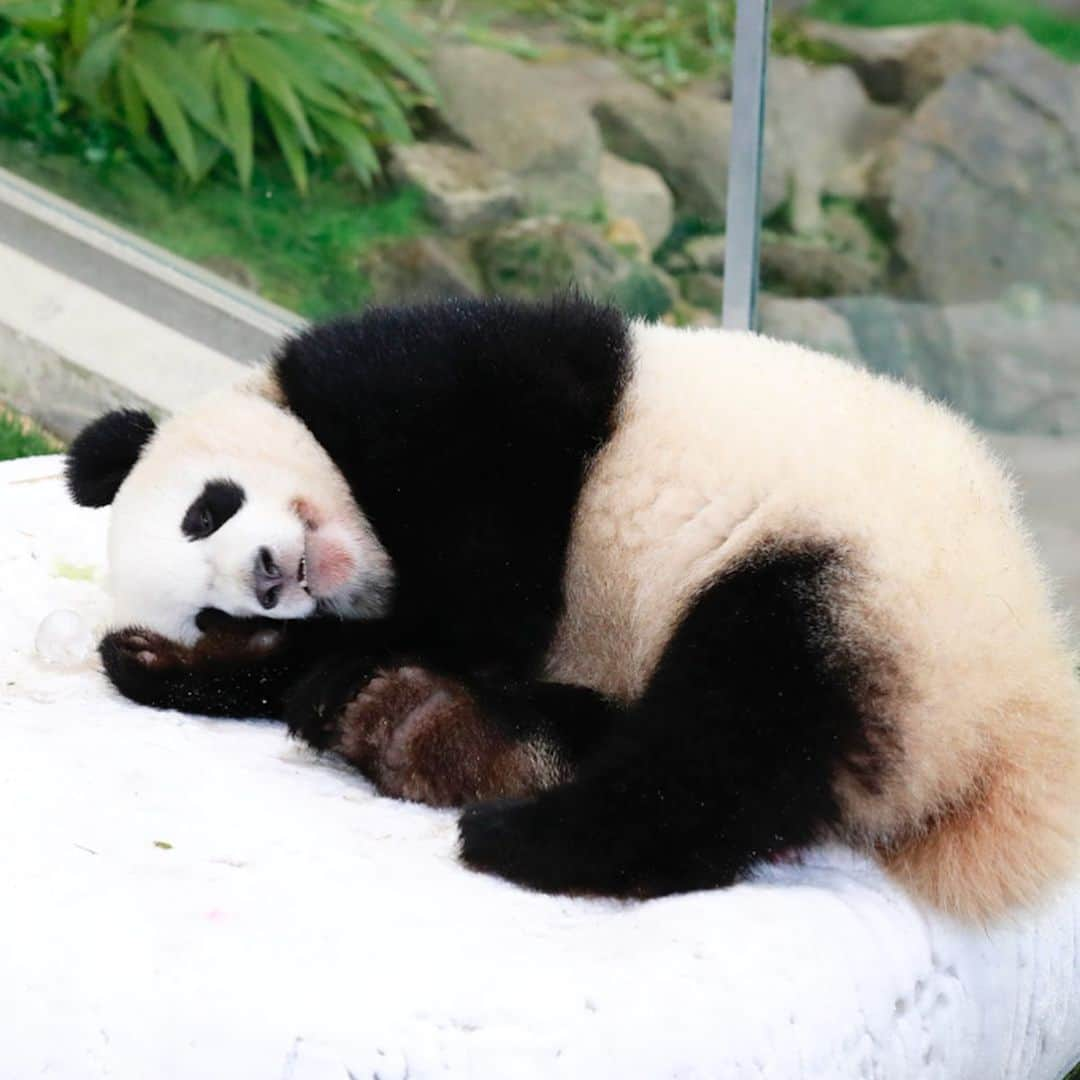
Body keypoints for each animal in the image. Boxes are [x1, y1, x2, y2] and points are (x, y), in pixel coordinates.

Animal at [65, 291, 1080, 915]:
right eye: (215, 610)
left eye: (207, 508)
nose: (273, 579)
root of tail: (1019, 709)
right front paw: (176, 662)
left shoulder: (439, 380)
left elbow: (496, 536)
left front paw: (358, 660)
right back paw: (438, 734)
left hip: (878, 584)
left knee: (740, 720)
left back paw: (525, 836)